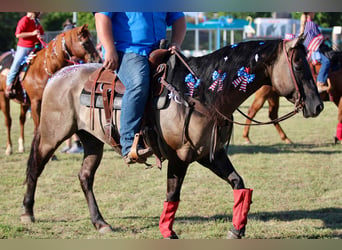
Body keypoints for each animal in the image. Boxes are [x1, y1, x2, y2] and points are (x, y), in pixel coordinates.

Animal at [0, 24, 101, 154]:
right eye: (86, 42)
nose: (99, 60)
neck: (43, 69)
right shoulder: (35, 102)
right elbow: (38, 127)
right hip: (4, 97)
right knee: (8, 121)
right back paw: (9, 148)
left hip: (24, 102)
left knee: (21, 120)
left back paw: (21, 146)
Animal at [21, 36, 324, 238]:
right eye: (299, 64)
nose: (318, 105)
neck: (202, 91)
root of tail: (57, 75)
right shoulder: (180, 156)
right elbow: (172, 194)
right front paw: (168, 232)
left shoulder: (210, 155)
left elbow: (238, 183)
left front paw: (236, 230)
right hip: (51, 134)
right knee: (35, 166)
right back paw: (27, 213)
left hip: (92, 140)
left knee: (85, 177)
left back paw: (100, 222)